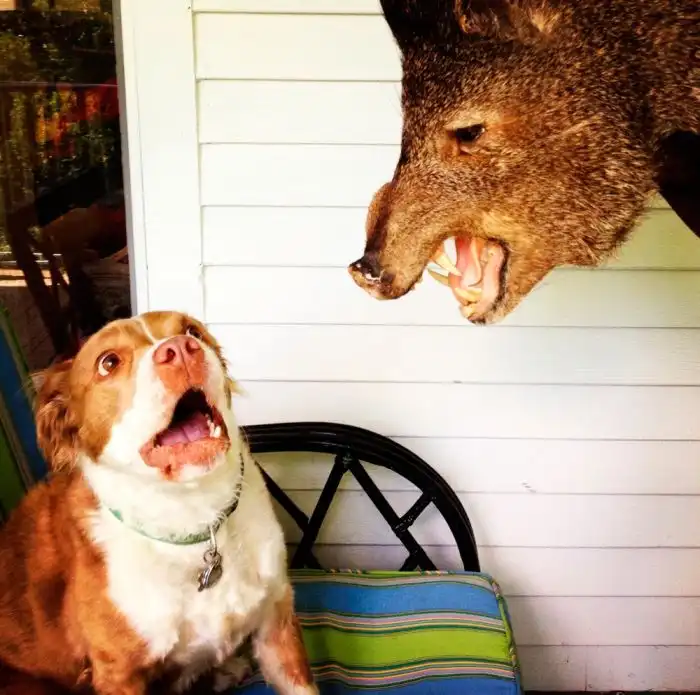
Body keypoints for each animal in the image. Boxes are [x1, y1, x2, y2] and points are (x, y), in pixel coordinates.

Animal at [0, 311, 318, 695]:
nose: (181, 350)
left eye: (193, 331)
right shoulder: (117, 673)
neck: (193, 519)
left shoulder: (276, 618)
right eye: (108, 362)